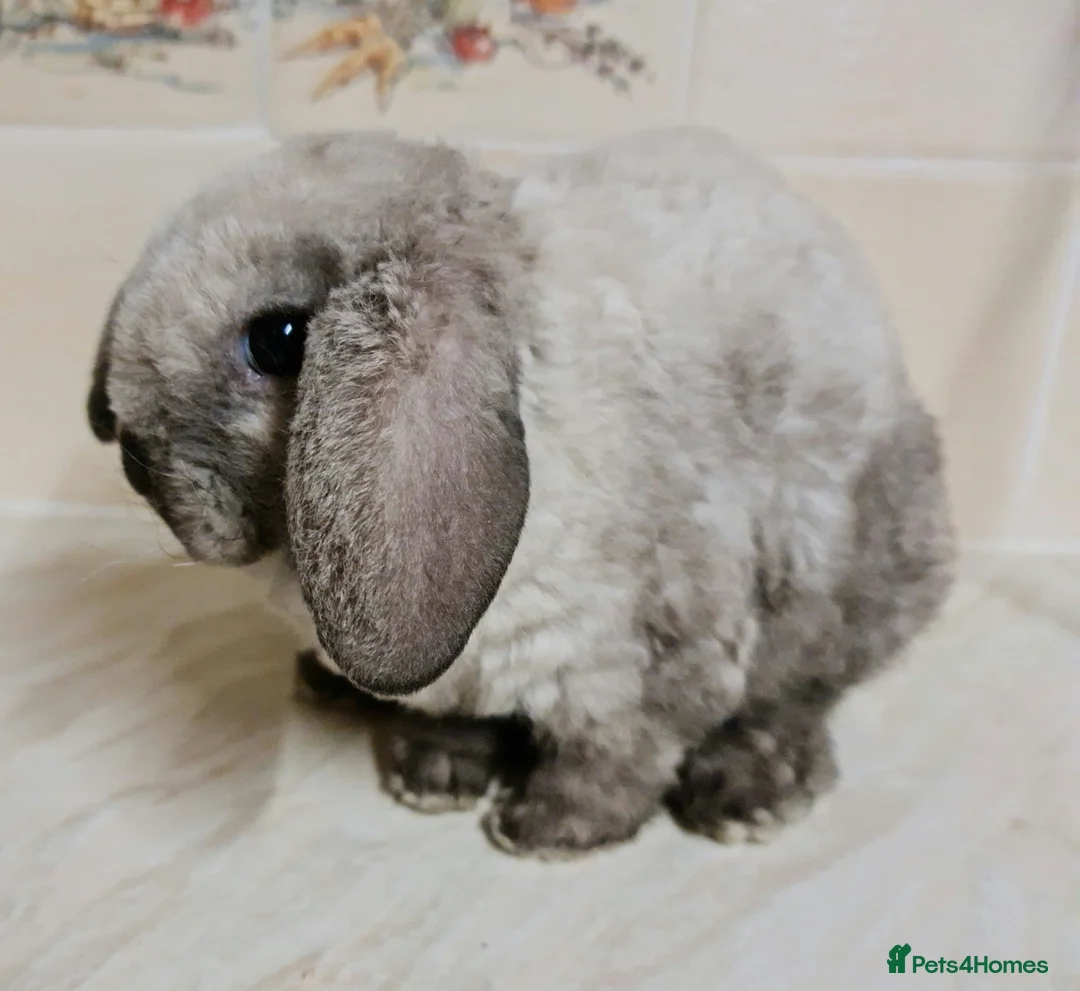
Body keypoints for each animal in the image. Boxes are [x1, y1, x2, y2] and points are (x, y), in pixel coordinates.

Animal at [87, 127, 955, 858]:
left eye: (279, 340)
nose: (129, 456)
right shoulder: (463, 678)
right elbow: (460, 723)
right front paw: (432, 777)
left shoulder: (648, 658)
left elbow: (621, 754)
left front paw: (547, 829)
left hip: (846, 581)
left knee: (797, 698)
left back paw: (750, 796)